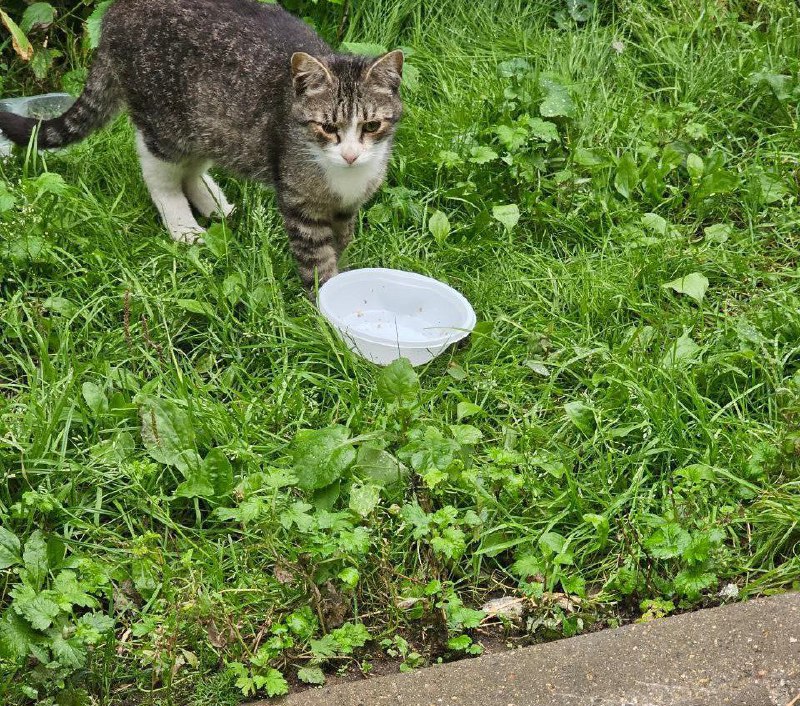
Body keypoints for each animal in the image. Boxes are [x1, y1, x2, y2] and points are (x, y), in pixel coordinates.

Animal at [0, 0, 404, 288]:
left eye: (371, 126)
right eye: (327, 128)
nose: (350, 154)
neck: (343, 181)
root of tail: (117, 8)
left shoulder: (347, 208)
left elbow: (342, 241)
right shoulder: (300, 206)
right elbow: (317, 261)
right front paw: (325, 312)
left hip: (208, 125)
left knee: (193, 169)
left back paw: (215, 205)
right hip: (165, 126)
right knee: (160, 174)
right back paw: (184, 227)